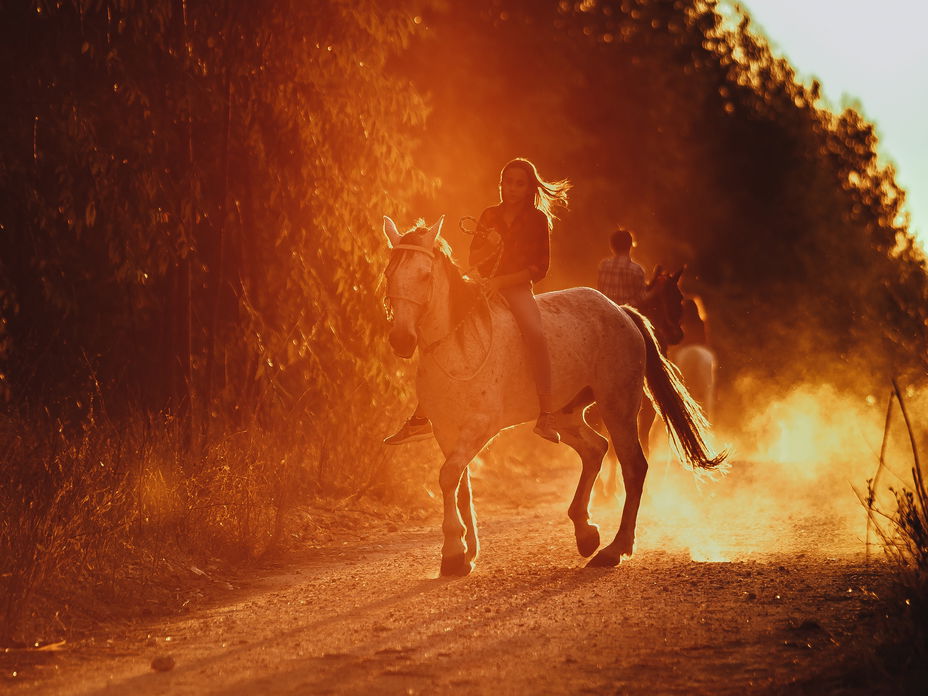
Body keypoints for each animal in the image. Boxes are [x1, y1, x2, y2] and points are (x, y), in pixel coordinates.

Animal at [382, 216, 726, 575]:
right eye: (389, 273)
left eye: (424, 275)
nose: (401, 339)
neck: (456, 345)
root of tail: (621, 312)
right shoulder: (446, 430)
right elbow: (460, 485)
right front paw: (464, 552)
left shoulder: (479, 427)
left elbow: (449, 476)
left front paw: (452, 553)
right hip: (568, 414)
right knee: (595, 450)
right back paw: (586, 534)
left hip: (618, 406)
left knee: (633, 466)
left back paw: (614, 549)